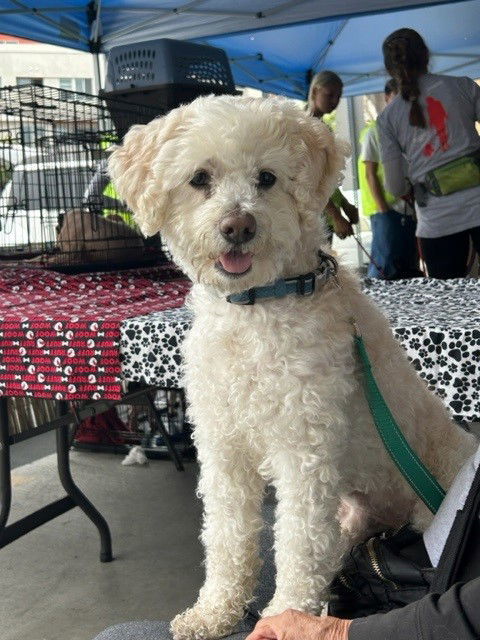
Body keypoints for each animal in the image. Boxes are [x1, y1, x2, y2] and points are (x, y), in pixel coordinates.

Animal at [109, 96, 476, 640]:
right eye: (199, 178)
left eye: (266, 178)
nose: (238, 227)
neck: (255, 309)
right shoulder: (223, 448)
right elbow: (227, 534)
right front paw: (215, 609)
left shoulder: (305, 450)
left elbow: (298, 544)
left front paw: (286, 616)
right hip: (350, 509)